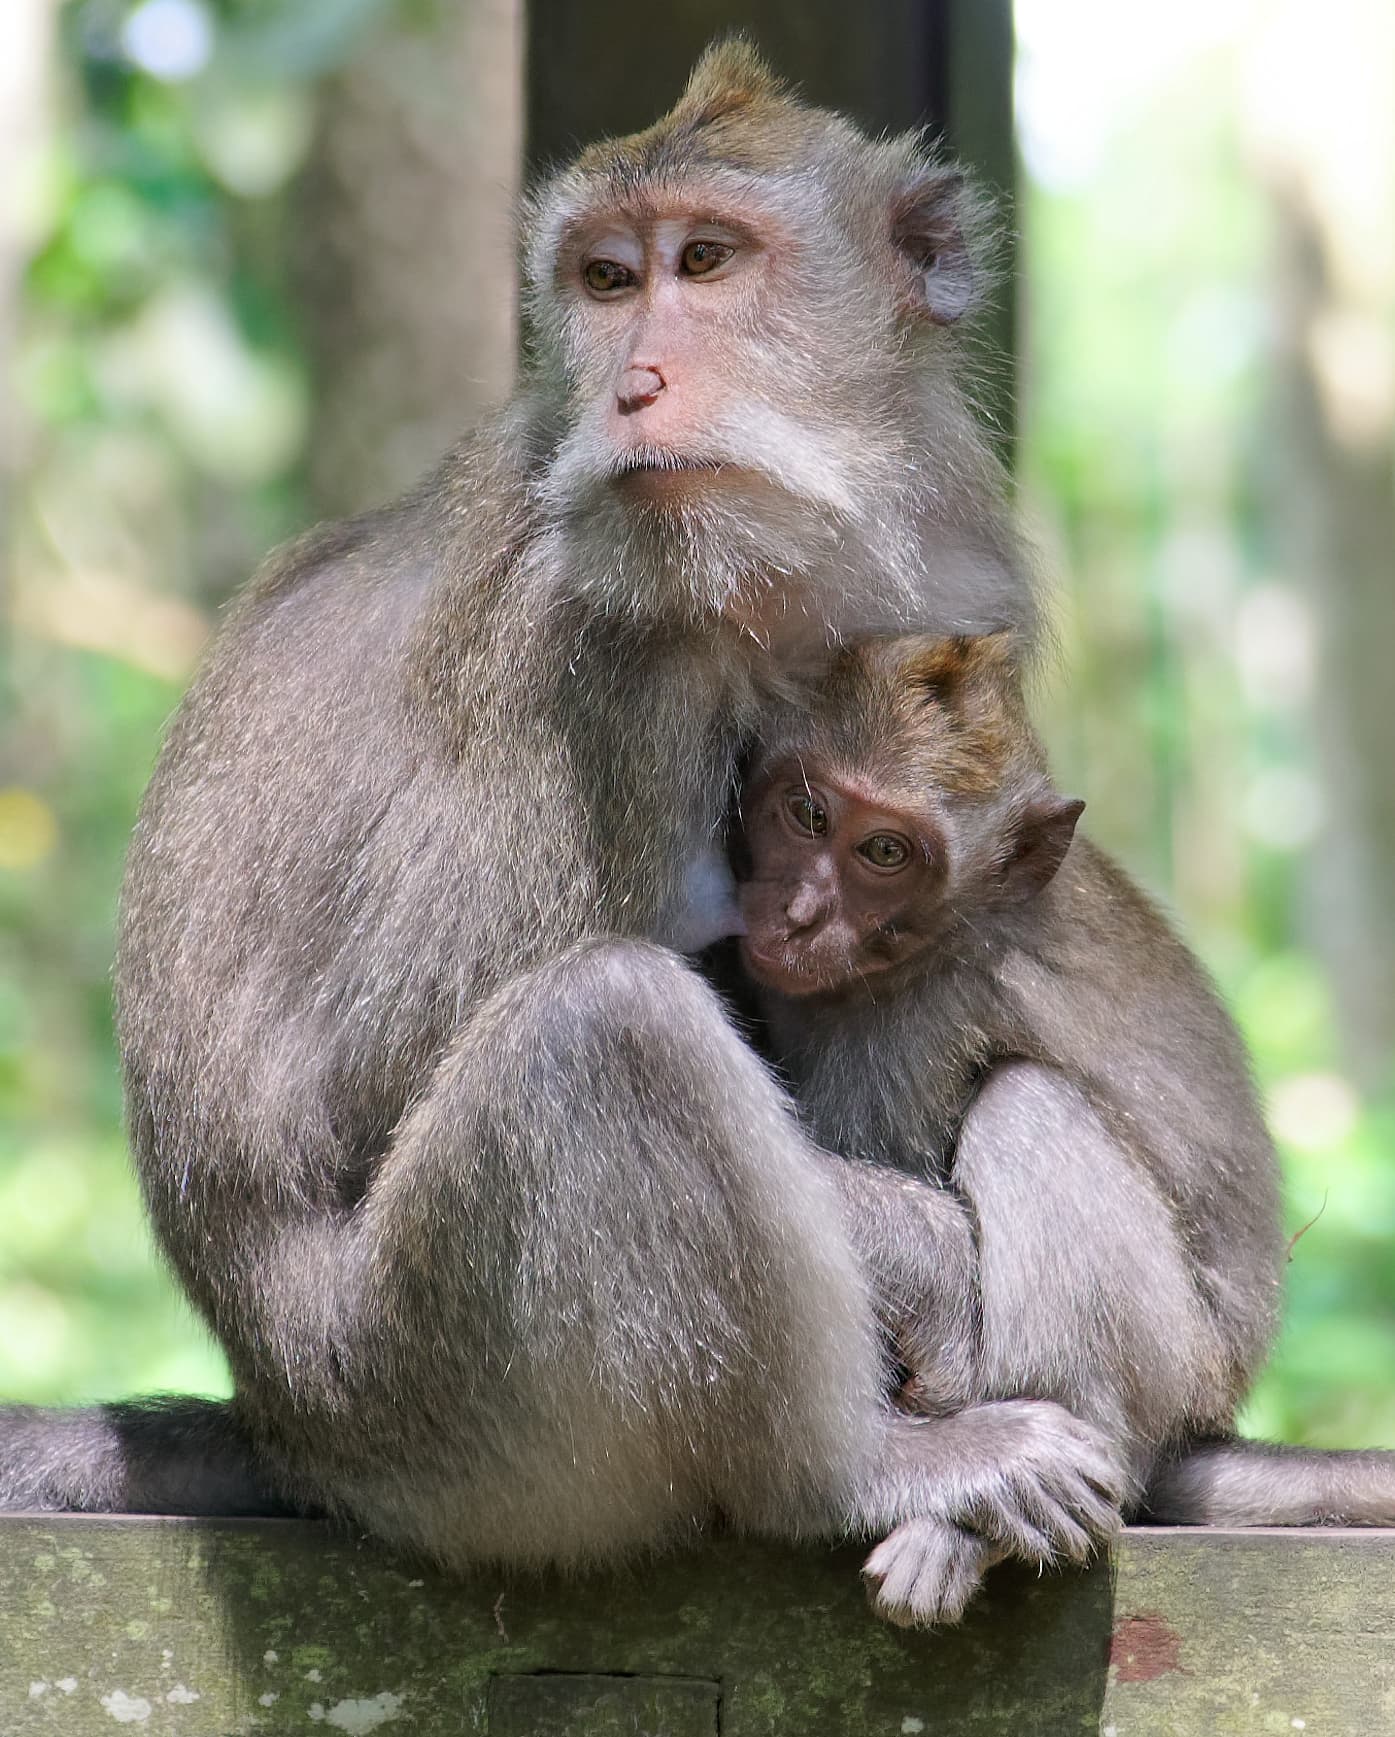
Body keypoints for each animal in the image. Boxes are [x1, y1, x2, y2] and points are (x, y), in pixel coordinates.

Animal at [0, 45, 1129, 1630]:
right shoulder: (580, 650)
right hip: (441, 1412)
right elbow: (384, 1064)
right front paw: (927, 1257)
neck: (783, 562)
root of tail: (287, 1423)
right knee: (602, 1032)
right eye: (604, 279)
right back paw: (859, 1467)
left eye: (704, 261)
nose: (635, 382)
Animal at [734, 629, 1395, 1616]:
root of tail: (1195, 1425)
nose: (801, 912)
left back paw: (989, 1514)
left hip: (1171, 1363)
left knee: (1027, 1106)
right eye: (808, 812)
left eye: (884, 851)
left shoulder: (914, 1018)